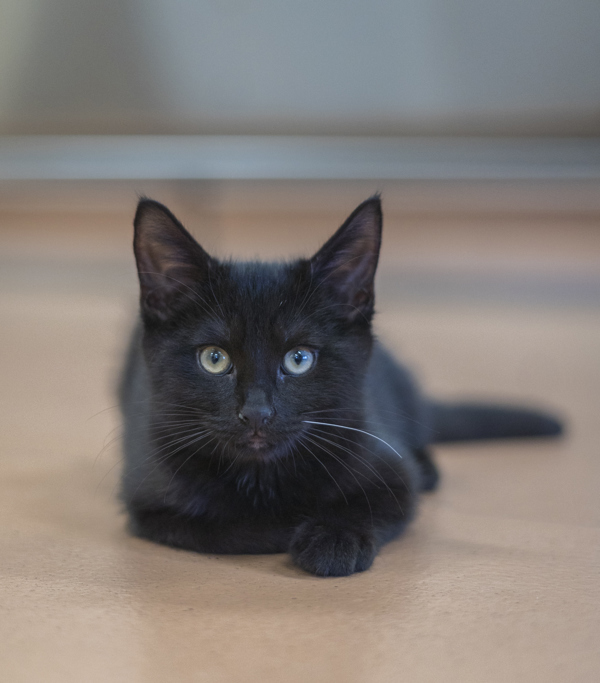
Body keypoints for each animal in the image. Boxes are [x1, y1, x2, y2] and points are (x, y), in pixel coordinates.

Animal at [118, 198, 564, 576]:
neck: (263, 477)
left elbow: (375, 503)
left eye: (299, 359)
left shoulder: (389, 465)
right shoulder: (149, 501)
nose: (257, 413)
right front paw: (291, 527)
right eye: (214, 359)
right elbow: (230, 528)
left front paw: (334, 540)